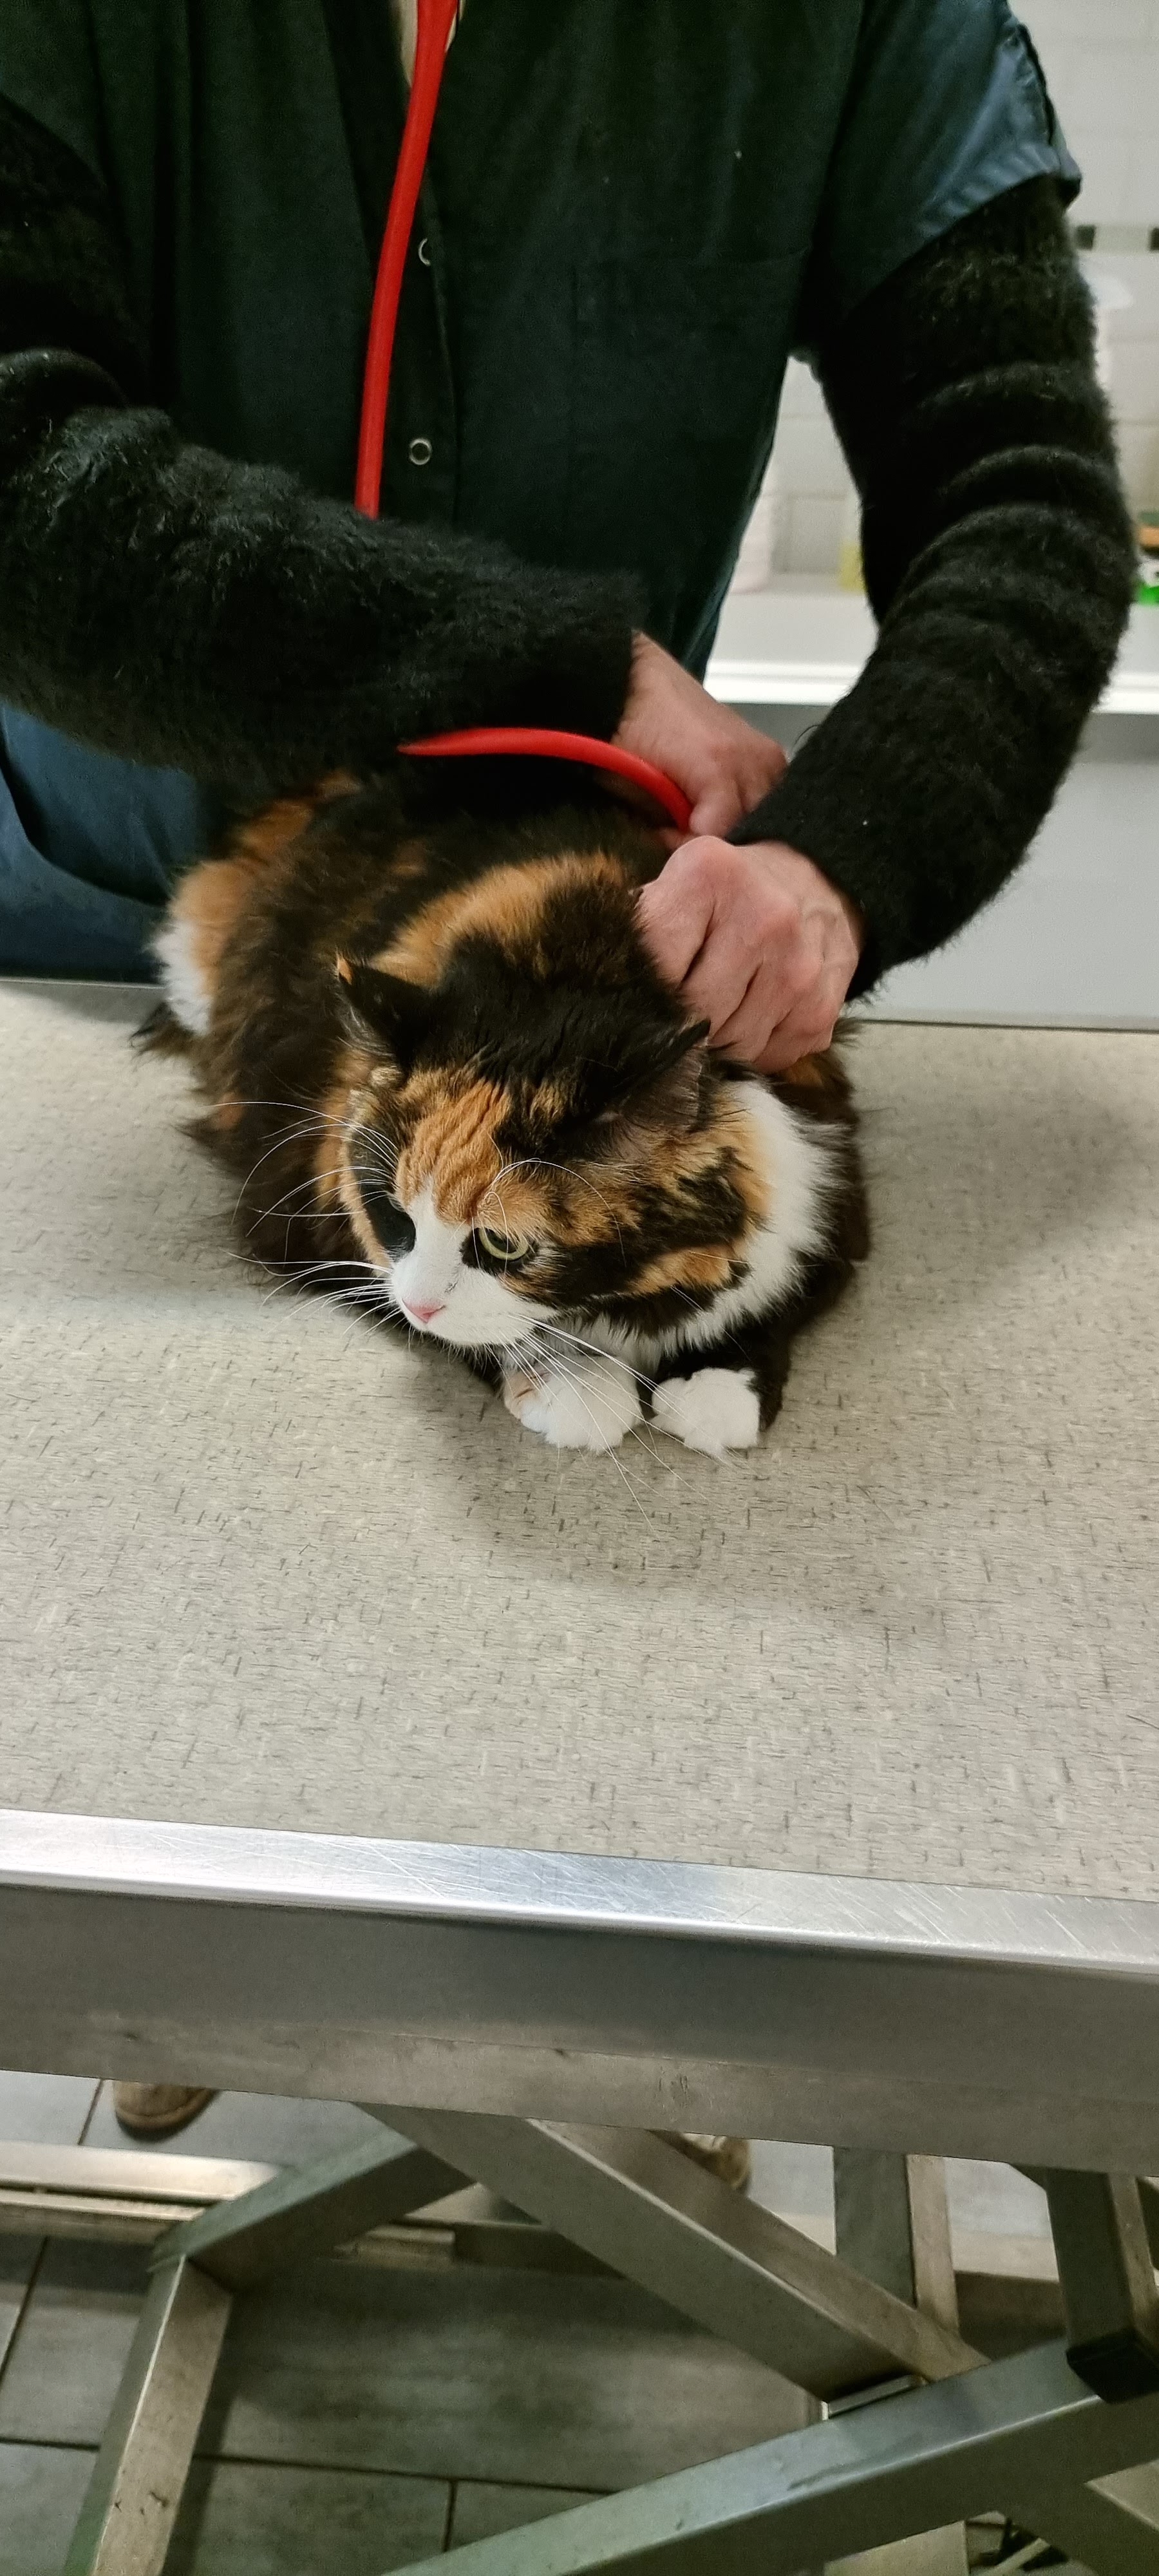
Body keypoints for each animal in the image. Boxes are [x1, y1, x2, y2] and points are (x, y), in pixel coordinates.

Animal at [149, 761, 868, 1456]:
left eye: (504, 1242)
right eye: (394, 1212)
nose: (420, 1308)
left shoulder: (823, 1179)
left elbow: (779, 1287)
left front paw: (714, 1389)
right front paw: (580, 1390)